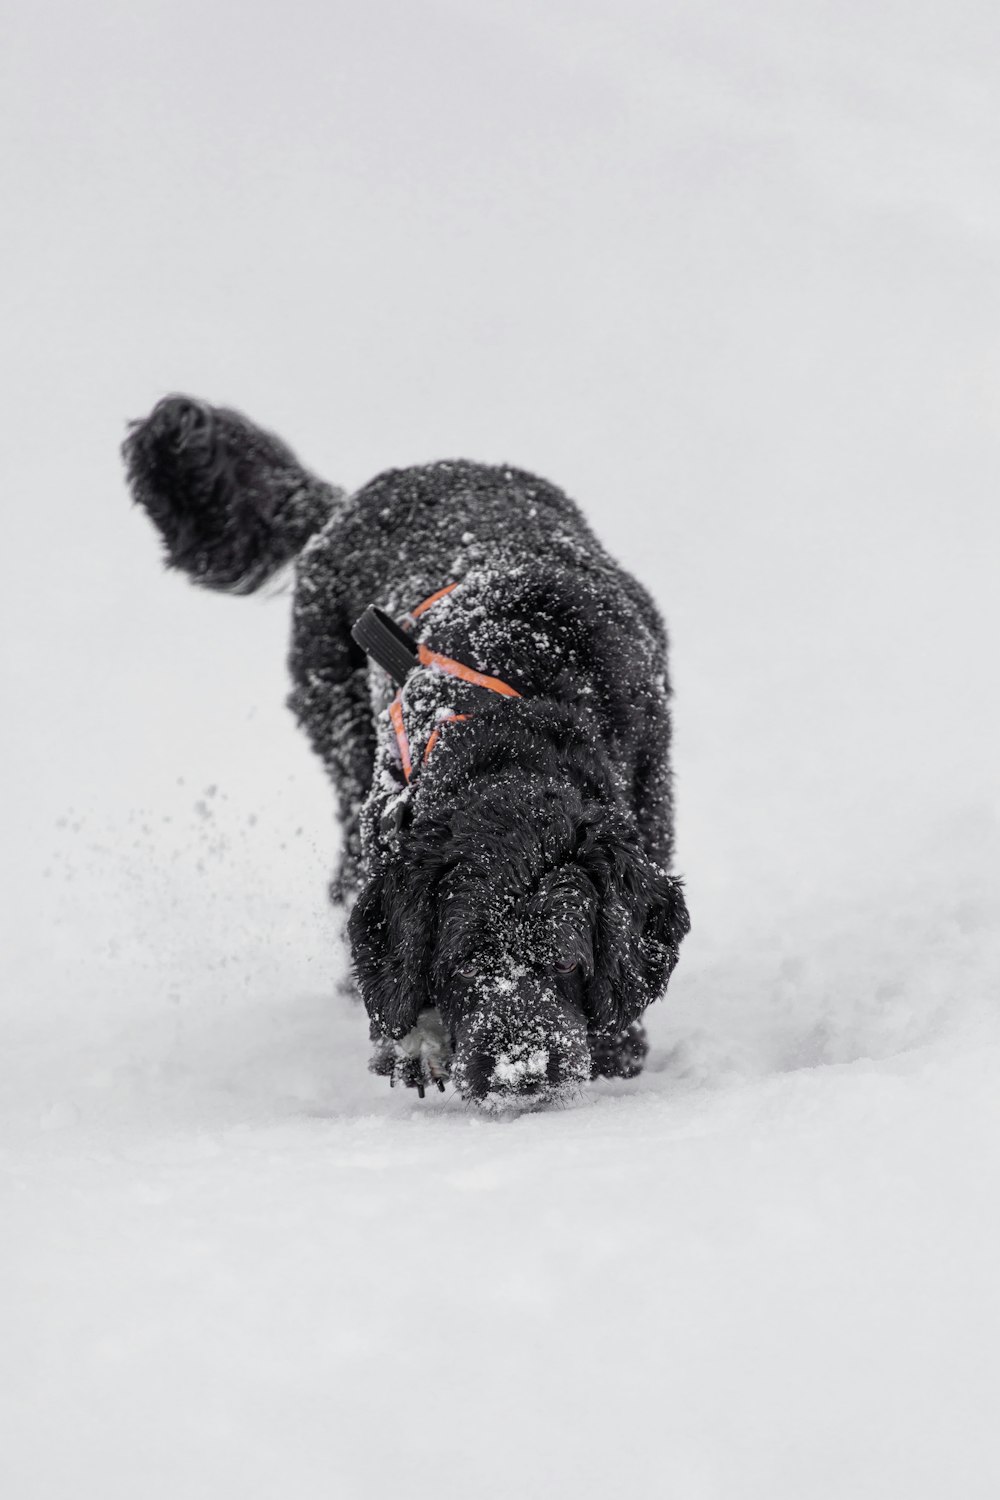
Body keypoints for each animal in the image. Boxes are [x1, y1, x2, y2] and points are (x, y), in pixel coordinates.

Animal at [122, 393, 689, 1110]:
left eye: (565, 959)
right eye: (459, 963)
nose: (519, 1073)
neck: (521, 705)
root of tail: (350, 500)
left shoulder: (644, 821)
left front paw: (618, 1047)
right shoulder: (391, 820)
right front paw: (415, 1043)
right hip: (336, 723)